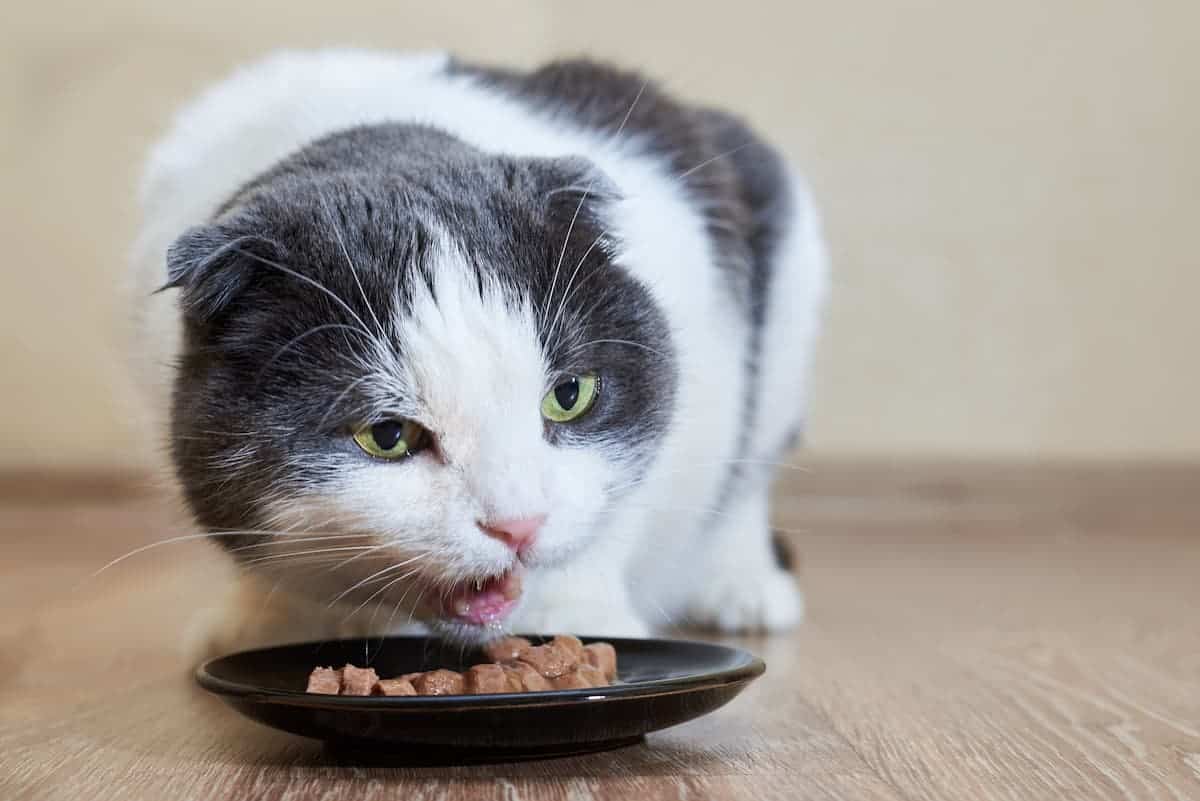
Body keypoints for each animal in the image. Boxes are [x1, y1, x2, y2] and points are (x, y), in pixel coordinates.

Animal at [126, 47, 830, 652]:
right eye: (387, 435)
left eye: (569, 396)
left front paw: (576, 615)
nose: (518, 526)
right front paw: (269, 621)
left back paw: (742, 587)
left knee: (746, 481)